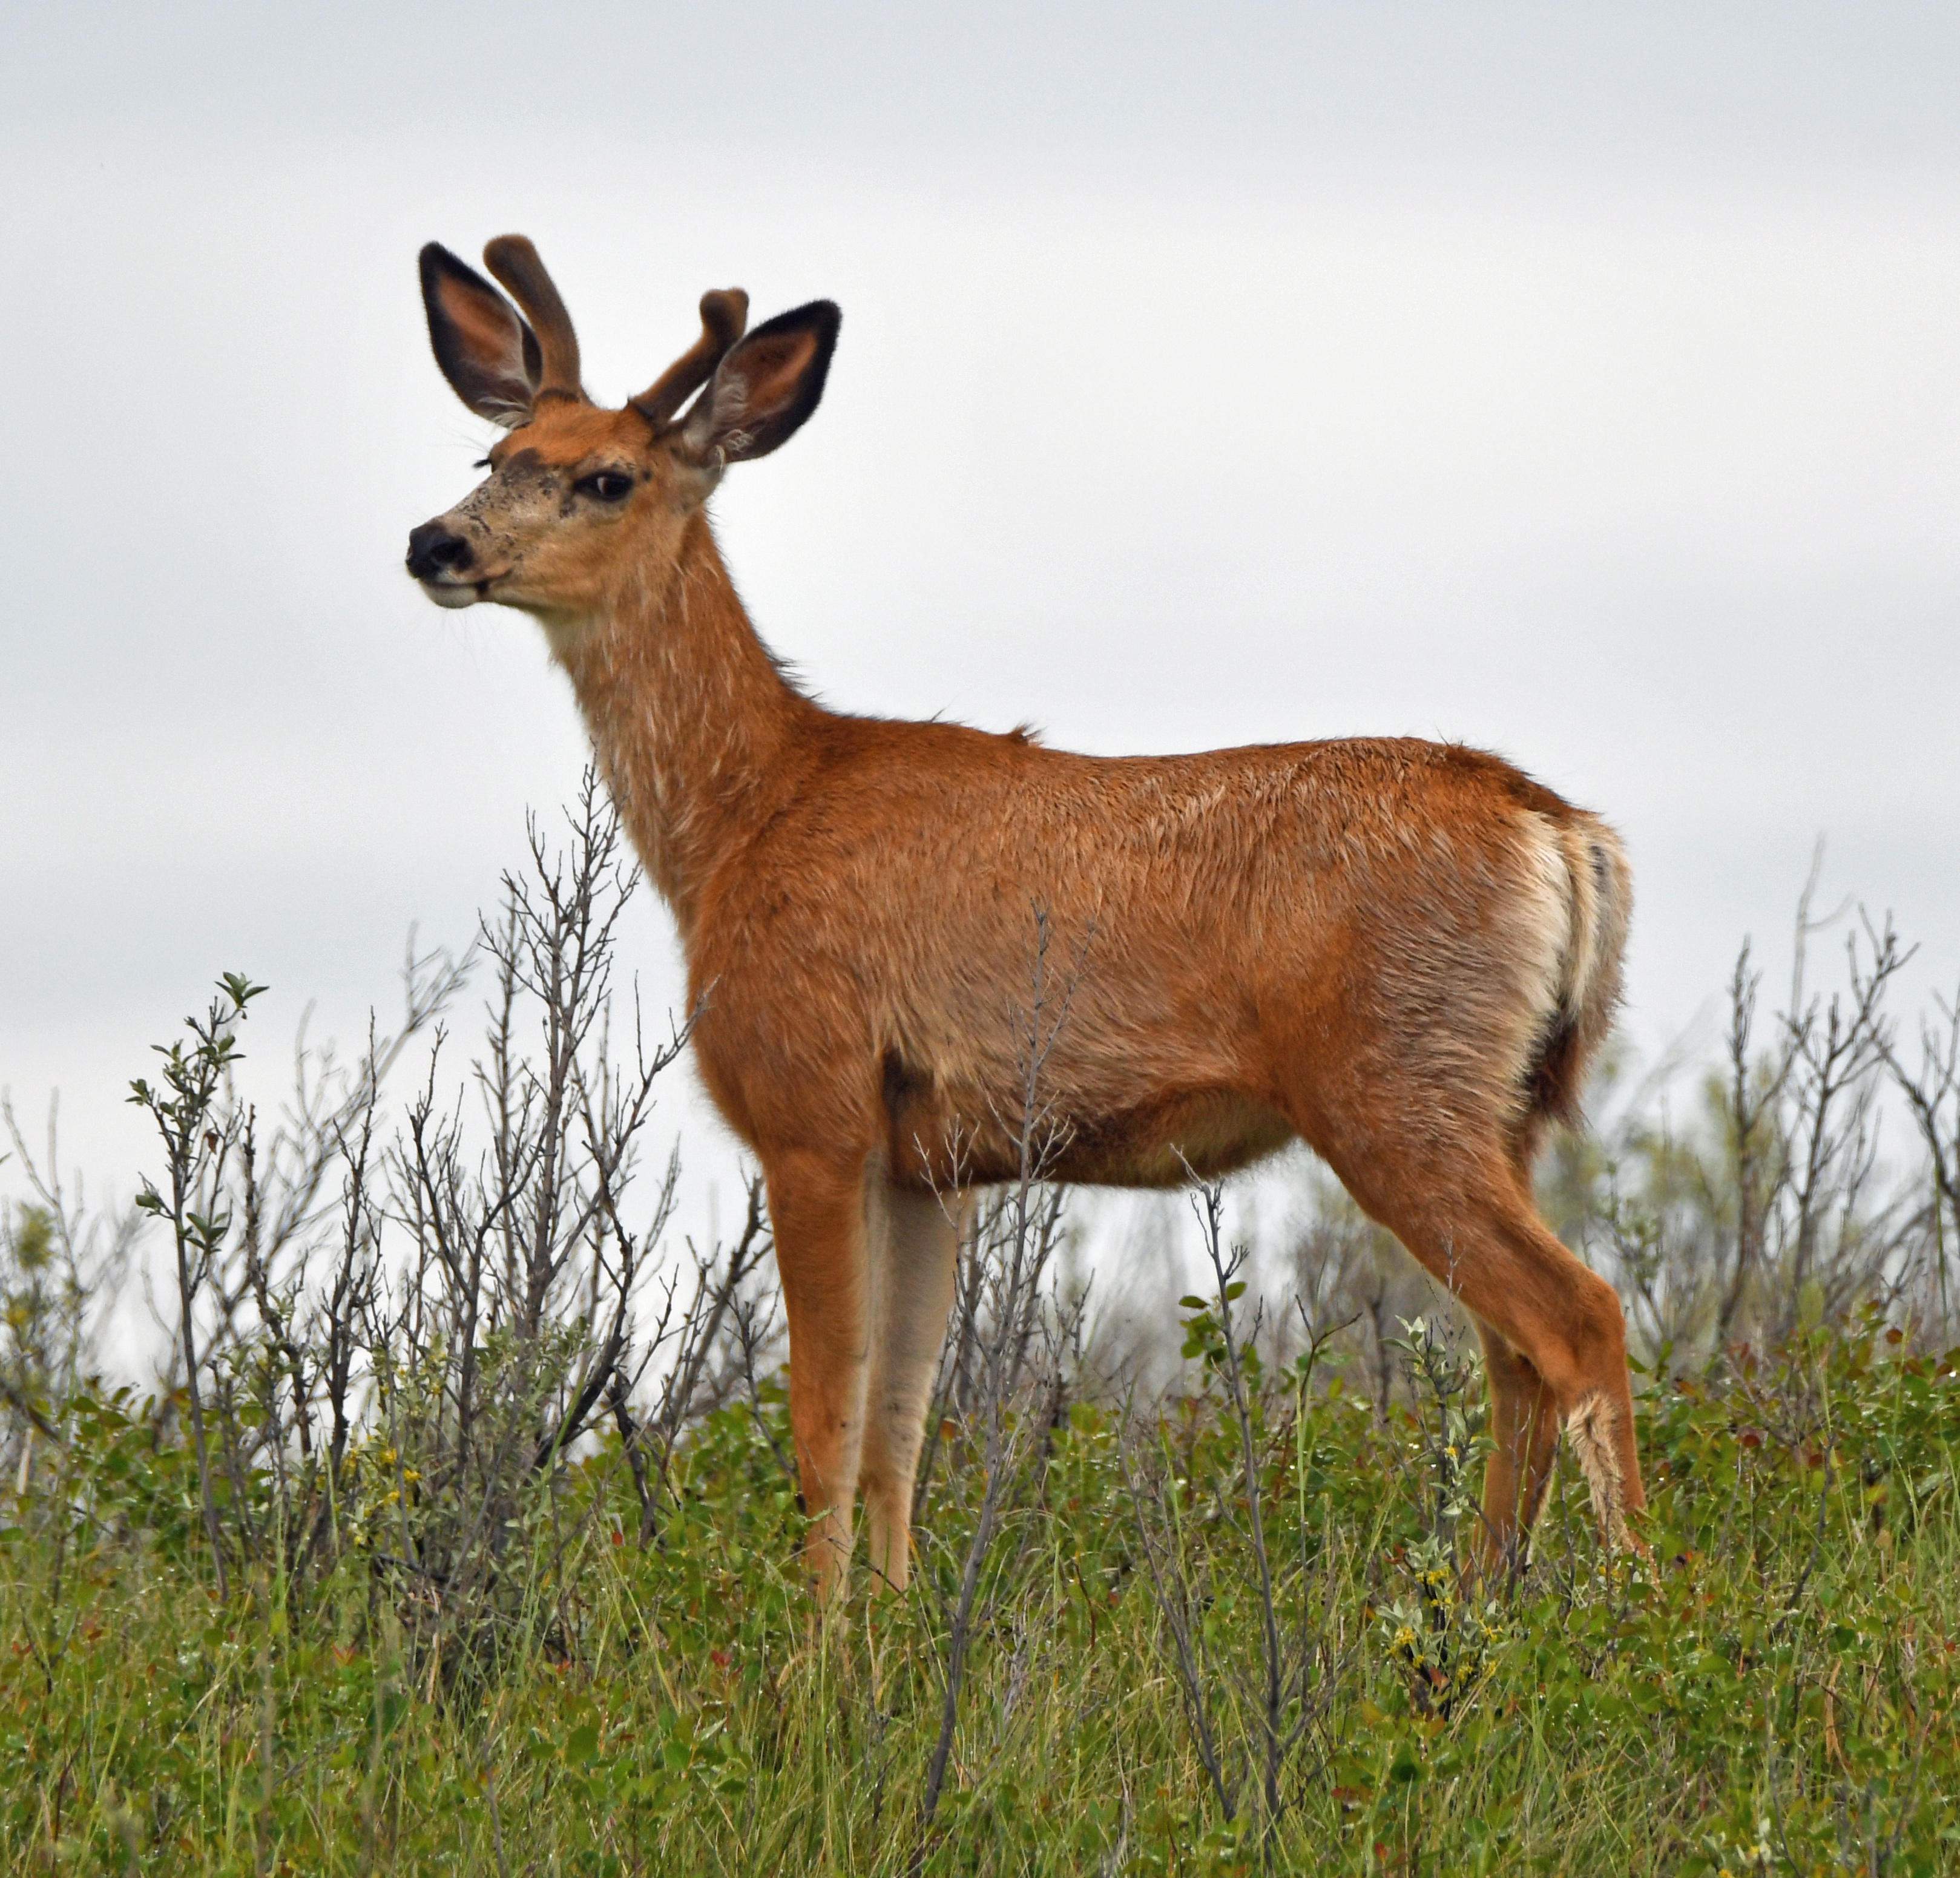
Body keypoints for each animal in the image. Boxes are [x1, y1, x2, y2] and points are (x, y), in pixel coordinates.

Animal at [406, 235, 1646, 1607]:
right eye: (495, 457)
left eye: (605, 476)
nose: (434, 543)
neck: (744, 817)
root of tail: (1559, 830)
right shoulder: (928, 1162)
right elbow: (898, 1427)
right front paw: (887, 1630)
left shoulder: (810, 1102)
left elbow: (823, 1426)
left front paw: (811, 1655)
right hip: (1504, 1099)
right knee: (1511, 1354)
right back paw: (1480, 1605)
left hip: (1392, 1079)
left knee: (1576, 1318)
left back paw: (1634, 1607)